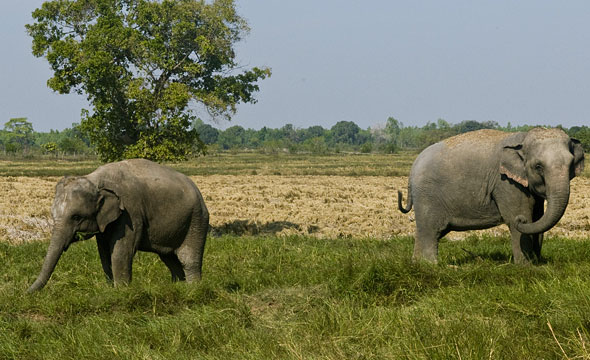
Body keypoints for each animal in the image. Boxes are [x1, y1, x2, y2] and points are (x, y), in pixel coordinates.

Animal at [30, 159, 212, 292]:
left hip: (196, 220)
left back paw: (193, 290)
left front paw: (122, 291)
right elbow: (104, 253)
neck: (95, 179)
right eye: (52, 215)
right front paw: (111, 289)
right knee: (169, 258)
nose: (26, 293)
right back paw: (178, 287)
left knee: (189, 259)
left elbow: (120, 252)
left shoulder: (130, 213)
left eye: (76, 217)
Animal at [400, 128, 584, 262]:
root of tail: (412, 169)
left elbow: (538, 218)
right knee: (430, 231)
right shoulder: (506, 183)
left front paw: (538, 264)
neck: (523, 139)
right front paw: (526, 267)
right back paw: (431, 265)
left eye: (571, 164)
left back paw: (418, 263)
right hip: (427, 196)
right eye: (538, 166)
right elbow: (518, 218)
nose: (521, 220)